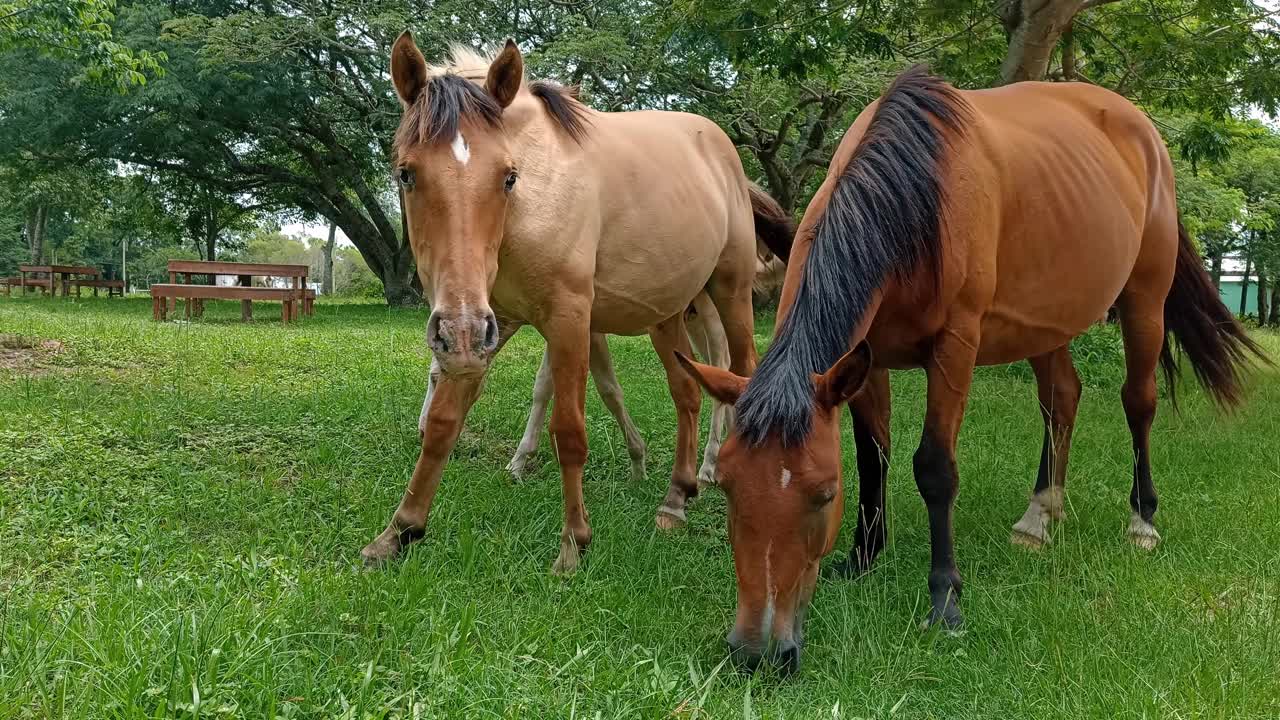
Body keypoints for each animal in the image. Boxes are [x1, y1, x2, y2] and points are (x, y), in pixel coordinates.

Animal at [360, 33, 793, 571]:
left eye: (508, 177)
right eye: (406, 173)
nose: (455, 329)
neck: (531, 204)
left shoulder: (567, 320)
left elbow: (568, 430)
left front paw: (573, 543)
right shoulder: (482, 327)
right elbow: (445, 422)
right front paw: (398, 531)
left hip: (729, 294)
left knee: (738, 373)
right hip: (667, 316)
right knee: (686, 394)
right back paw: (675, 498)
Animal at [675, 68, 1264, 671]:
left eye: (823, 493)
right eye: (728, 488)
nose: (757, 653)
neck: (914, 198)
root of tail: (1142, 130)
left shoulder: (954, 347)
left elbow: (934, 468)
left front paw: (944, 601)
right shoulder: (863, 360)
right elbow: (873, 454)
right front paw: (863, 559)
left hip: (1146, 301)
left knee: (1138, 402)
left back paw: (1142, 521)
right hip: (1045, 322)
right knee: (1062, 397)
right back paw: (1039, 516)